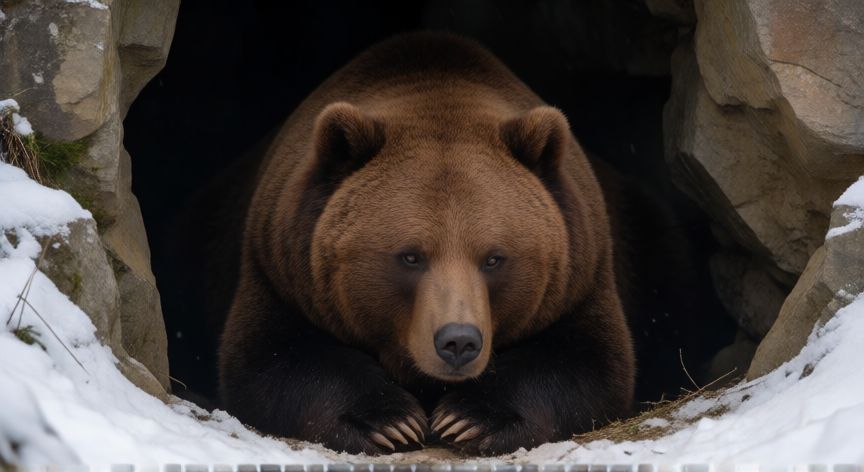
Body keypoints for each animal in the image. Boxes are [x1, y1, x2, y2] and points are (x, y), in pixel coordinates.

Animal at [218, 32, 635, 456]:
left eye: (494, 258)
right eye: (410, 256)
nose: (459, 342)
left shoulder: (582, 276)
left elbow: (590, 366)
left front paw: (468, 417)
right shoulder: (277, 268)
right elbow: (269, 362)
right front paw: (389, 421)